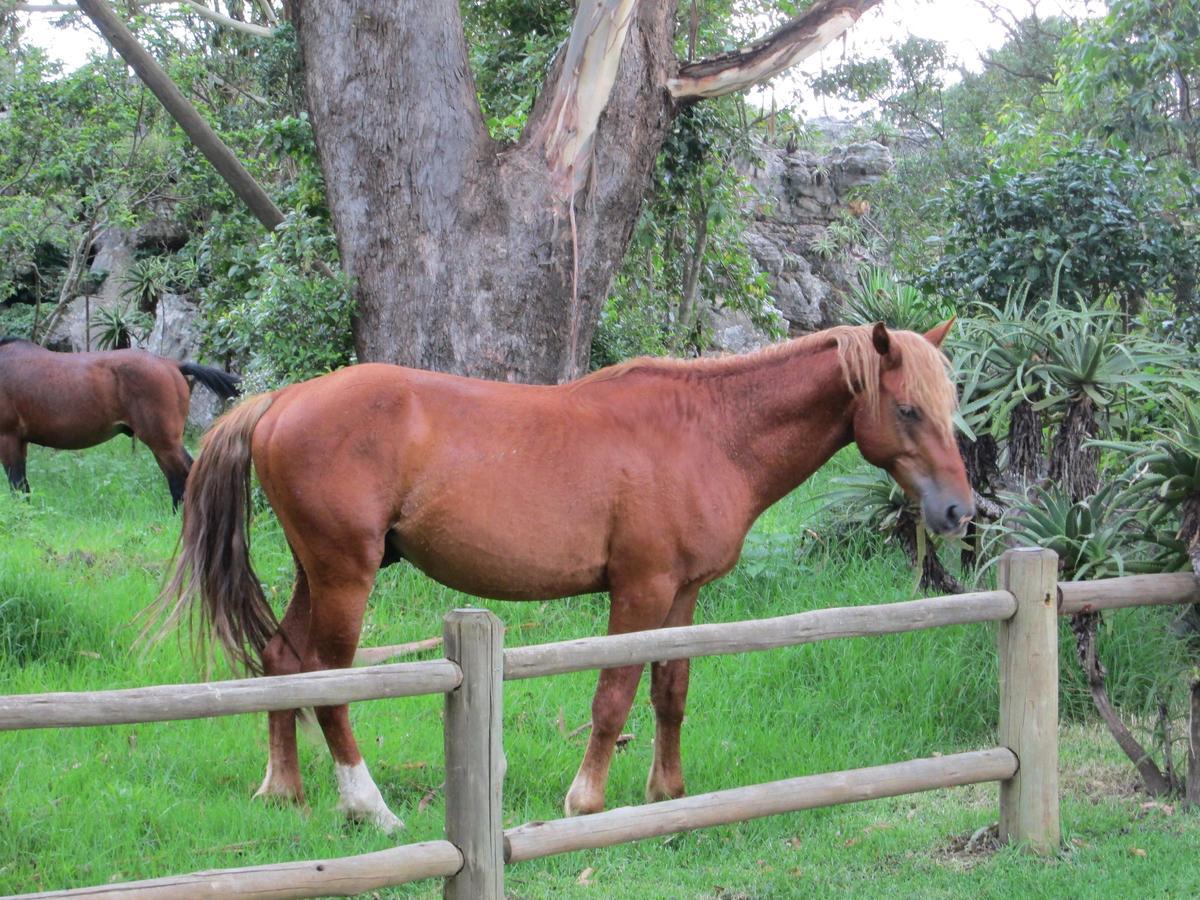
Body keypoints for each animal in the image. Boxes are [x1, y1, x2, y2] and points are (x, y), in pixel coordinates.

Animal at [0, 338, 241, 508]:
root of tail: (172, 364)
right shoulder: (19, 441)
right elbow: (23, 486)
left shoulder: (8, 437)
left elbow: (17, 484)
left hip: (163, 442)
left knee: (183, 475)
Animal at [159, 321, 969, 835]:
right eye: (907, 408)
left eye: (950, 407)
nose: (958, 510)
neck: (706, 432)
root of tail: (282, 400)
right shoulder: (640, 591)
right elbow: (613, 697)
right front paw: (587, 800)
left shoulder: (683, 594)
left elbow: (670, 691)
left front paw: (667, 793)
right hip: (343, 577)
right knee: (327, 679)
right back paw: (368, 806)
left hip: (317, 572)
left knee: (282, 659)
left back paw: (283, 790)